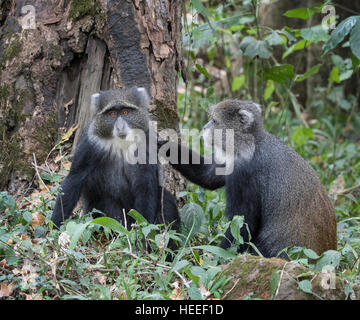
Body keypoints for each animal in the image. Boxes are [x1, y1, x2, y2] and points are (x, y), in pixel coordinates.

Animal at [50, 86, 180, 236]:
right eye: (112, 114)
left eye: (125, 112)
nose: (120, 127)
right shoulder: (90, 144)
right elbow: (74, 179)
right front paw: (54, 230)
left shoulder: (148, 142)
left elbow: (145, 186)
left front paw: (143, 234)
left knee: (166, 199)